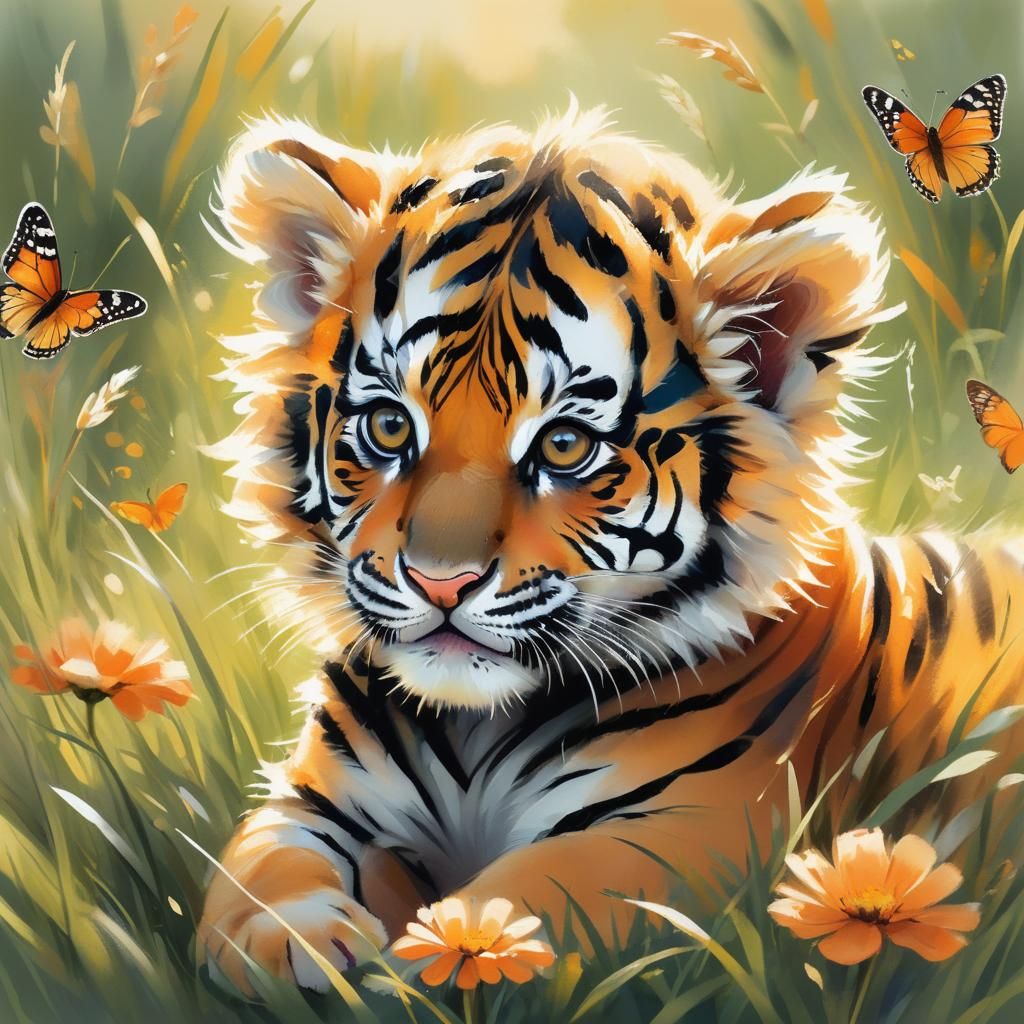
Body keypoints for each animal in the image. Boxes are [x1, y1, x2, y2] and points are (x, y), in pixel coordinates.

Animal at [198, 105, 1024, 993]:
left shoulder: (688, 832)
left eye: (564, 446)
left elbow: (534, 886)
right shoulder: (313, 797)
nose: (439, 582)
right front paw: (294, 939)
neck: (474, 729)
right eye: (389, 425)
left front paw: (441, 952)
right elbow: (261, 863)